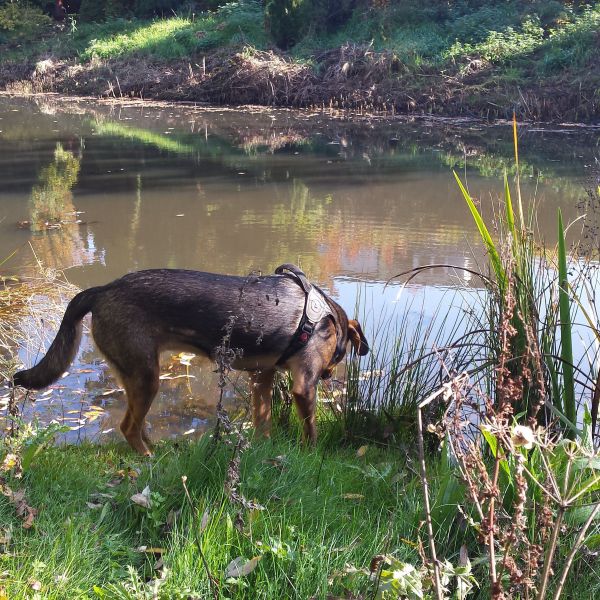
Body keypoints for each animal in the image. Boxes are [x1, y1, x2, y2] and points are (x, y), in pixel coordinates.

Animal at [14, 264, 368, 454]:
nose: (328, 375)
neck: (327, 317)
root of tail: (102, 289)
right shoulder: (303, 387)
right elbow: (310, 430)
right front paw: (312, 454)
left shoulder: (261, 377)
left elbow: (263, 421)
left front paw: (263, 450)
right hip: (147, 377)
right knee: (127, 427)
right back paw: (147, 458)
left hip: (136, 376)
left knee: (135, 423)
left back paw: (155, 449)